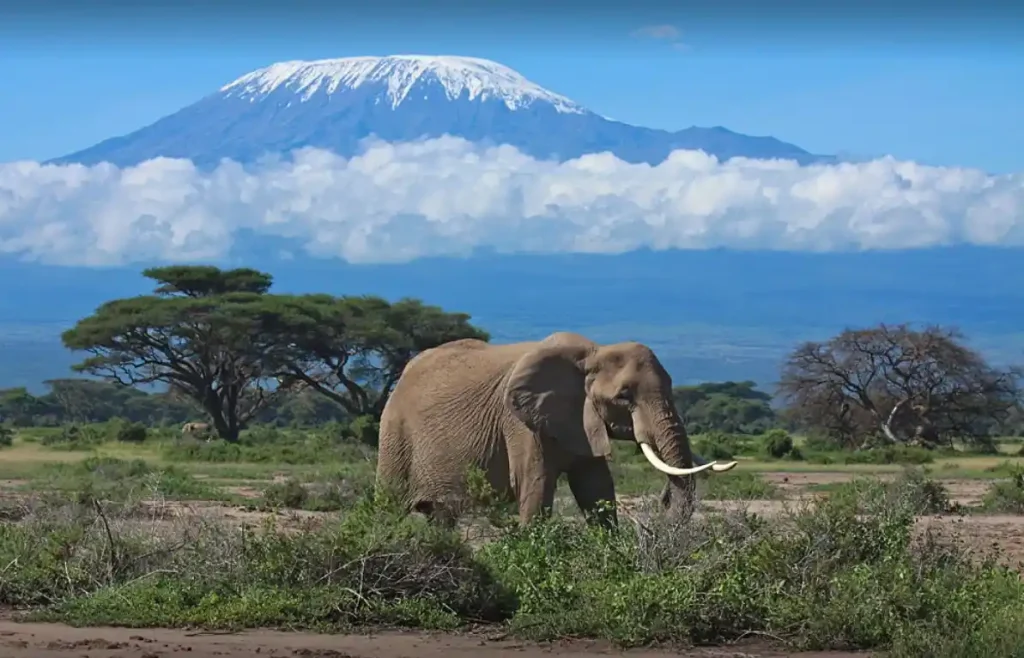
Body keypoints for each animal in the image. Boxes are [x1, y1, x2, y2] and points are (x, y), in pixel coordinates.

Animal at [375, 331, 737, 527]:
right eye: (624, 395)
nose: (662, 500)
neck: (592, 354)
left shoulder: (581, 420)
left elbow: (597, 489)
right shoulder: (518, 423)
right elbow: (535, 487)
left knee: (440, 517)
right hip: (394, 430)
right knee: (390, 504)